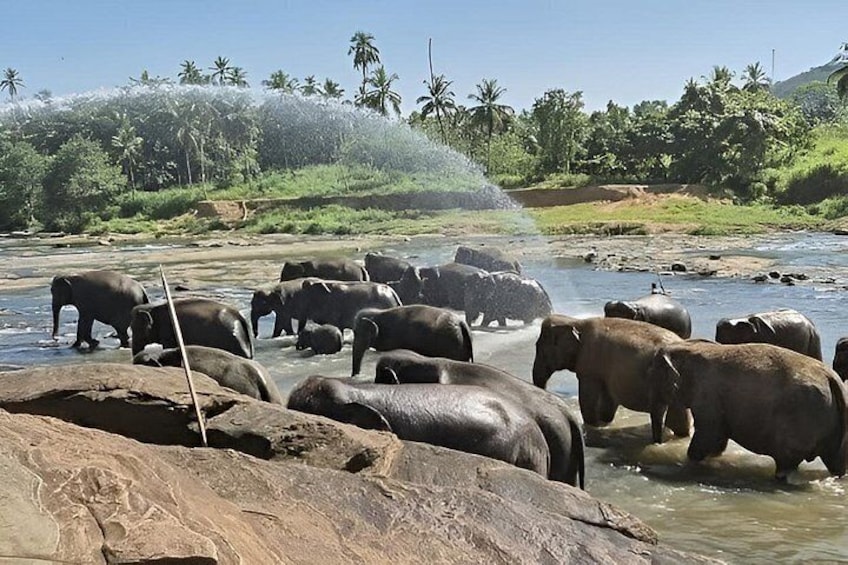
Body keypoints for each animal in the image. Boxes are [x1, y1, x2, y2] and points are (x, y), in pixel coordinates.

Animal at [532, 315, 689, 437]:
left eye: (540, 348)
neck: (576, 322)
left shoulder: (590, 366)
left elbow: (588, 399)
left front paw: (593, 426)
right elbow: (608, 401)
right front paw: (604, 423)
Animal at [648, 340, 848, 480]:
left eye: (650, 375)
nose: (657, 445)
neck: (690, 346)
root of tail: (831, 377)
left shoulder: (708, 397)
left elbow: (708, 436)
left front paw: (689, 463)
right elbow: (718, 441)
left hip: (802, 418)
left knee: (786, 462)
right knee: (836, 462)